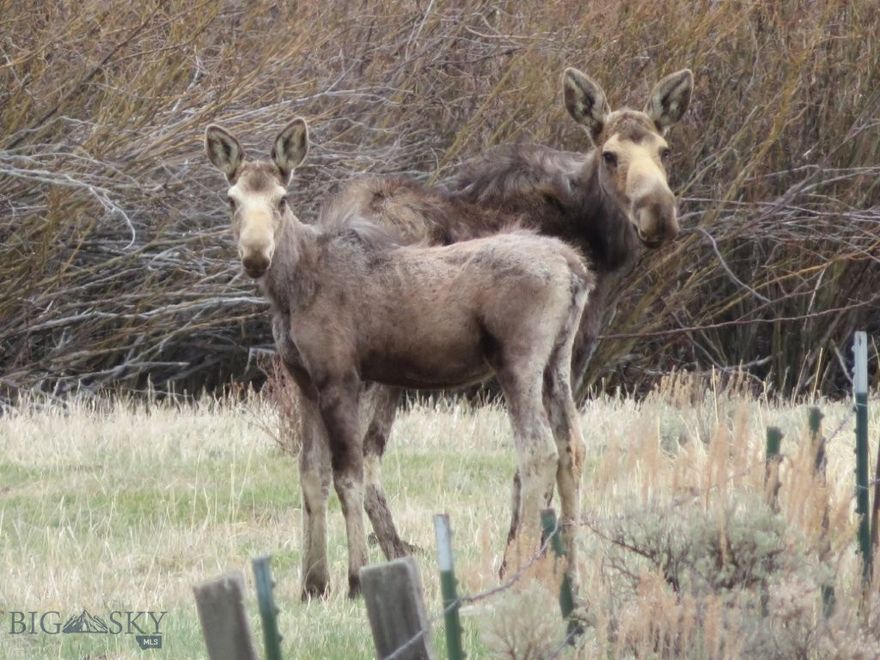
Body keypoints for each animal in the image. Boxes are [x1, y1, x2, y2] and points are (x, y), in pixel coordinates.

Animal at [204, 118, 594, 598]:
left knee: (537, 453)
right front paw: (312, 584)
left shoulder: (341, 375)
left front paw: (355, 579)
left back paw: (518, 574)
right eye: (232, 199)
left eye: (282, 199)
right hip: (558, 359)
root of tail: (577, 270)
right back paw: (571, 573)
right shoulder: (305, 381)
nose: (256, 255)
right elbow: (310, 475)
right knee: (572, 447)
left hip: (519, 357)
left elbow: (348, 477)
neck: (290, 292)